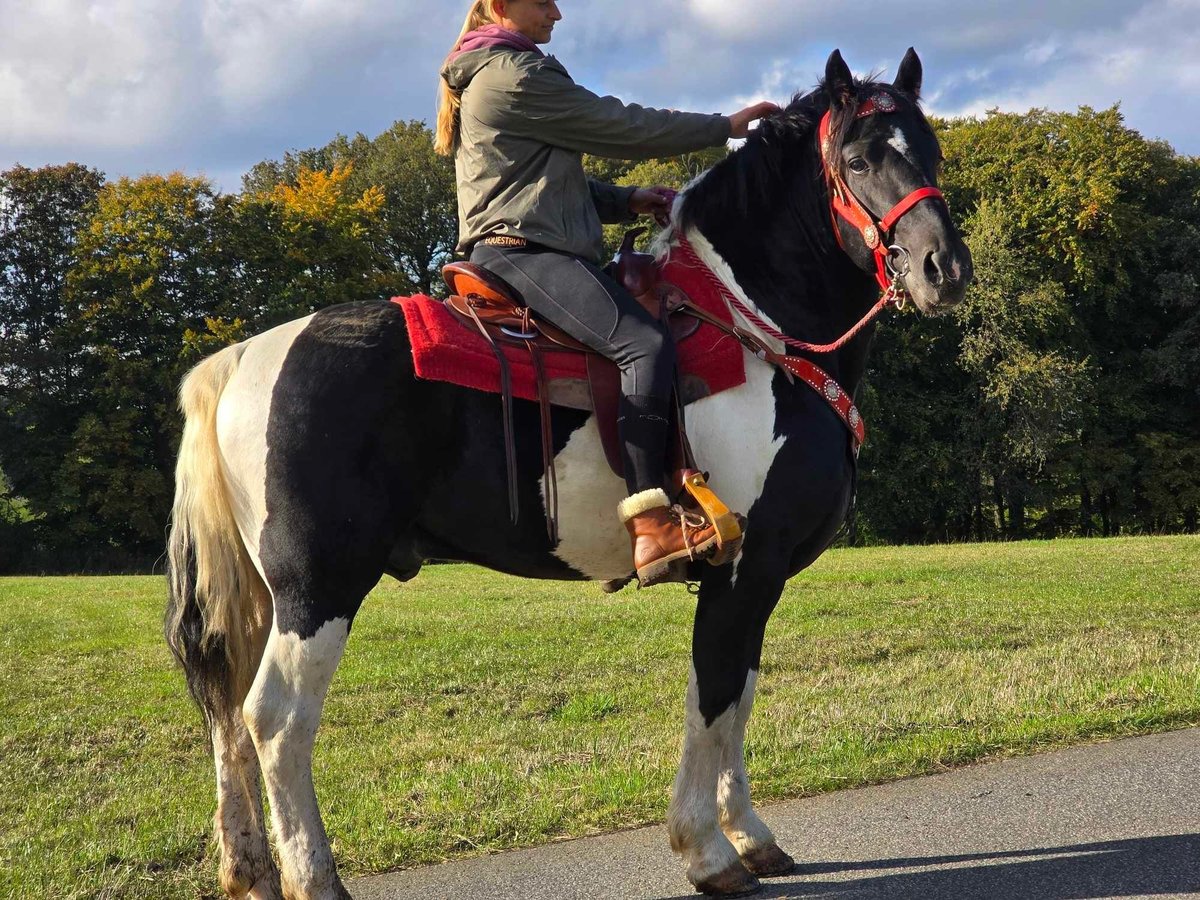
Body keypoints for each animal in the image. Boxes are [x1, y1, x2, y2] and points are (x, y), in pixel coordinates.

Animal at [166, 49, 974, 900]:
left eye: (931, 150)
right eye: (858, 158)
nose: (943, 267)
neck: (756, 328)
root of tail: (242, 357)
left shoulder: (757, 578)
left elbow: (738, 696)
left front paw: (751, 836)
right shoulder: (744, 571)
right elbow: (714, 696)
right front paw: (707, 850)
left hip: (266, 598)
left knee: (227, 714)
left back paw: (250, 869)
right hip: (318, 587)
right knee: (276, 719)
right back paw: (313, 876)